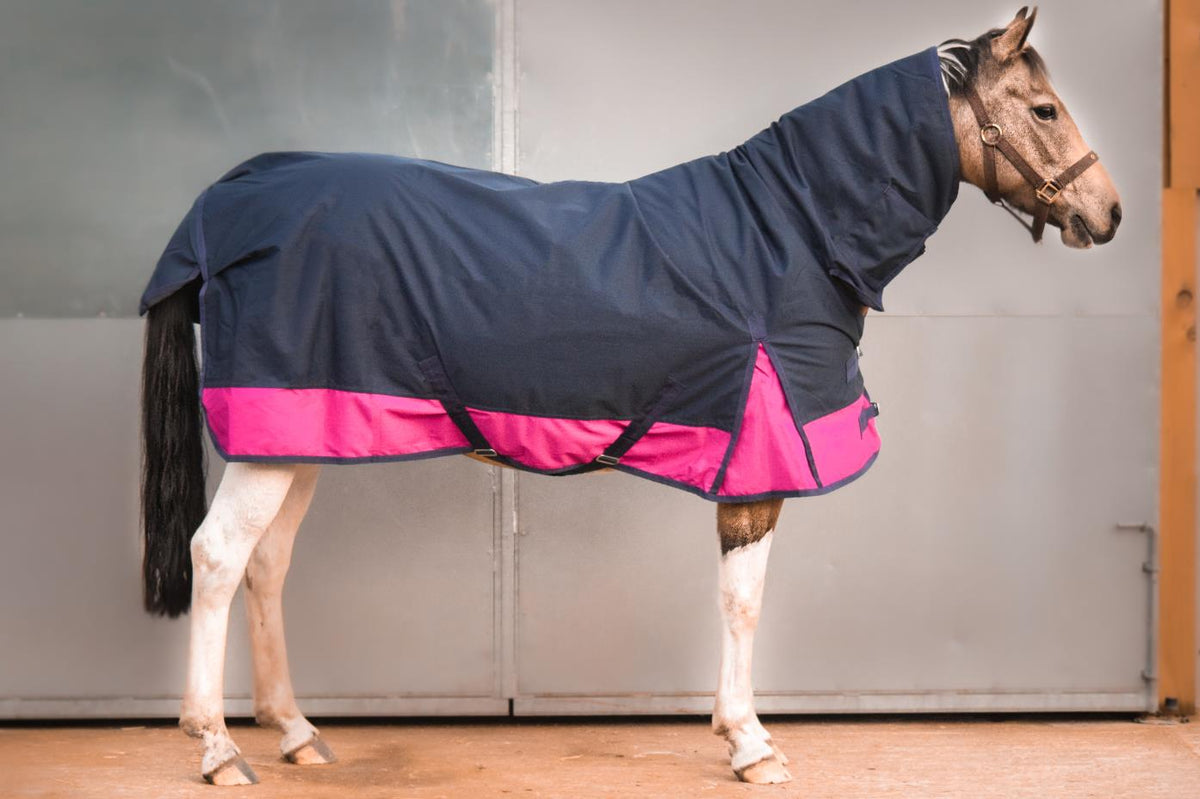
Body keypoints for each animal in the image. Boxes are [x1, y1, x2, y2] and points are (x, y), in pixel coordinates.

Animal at [138, 8, 1121, 787]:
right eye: (1043, 109)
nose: (1109, 215)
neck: (788, 233)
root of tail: (228, 199)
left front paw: (736, 729)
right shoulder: (757, 462)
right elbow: (743, 601)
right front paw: (752, 743)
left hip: (299, 430)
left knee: (266, 564)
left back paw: (296, 732)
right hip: (271, 437)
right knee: (218, 557)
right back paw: (217, 747)